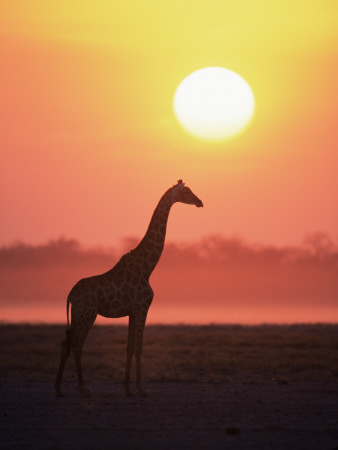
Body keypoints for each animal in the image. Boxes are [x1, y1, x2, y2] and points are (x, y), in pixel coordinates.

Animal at [55, 179, 203, 398]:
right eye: (186, 192)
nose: (200, 202)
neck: (147, 267)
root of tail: (71, 294)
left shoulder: (132, 312)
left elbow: (129, 347)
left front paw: (127, 388)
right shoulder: (142, 308)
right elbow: (139, 347)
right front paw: (141, 388)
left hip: (77, 313)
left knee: (66, 343)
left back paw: (58, 389)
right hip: (87, 313)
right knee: (77, 344)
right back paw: (83, 388)